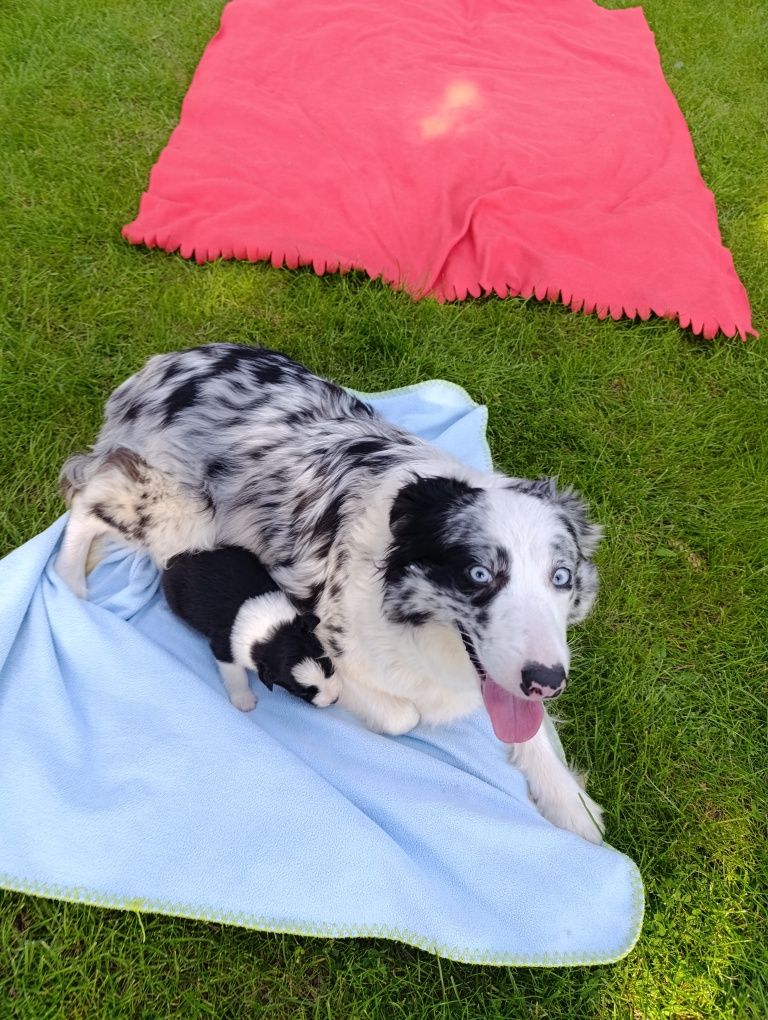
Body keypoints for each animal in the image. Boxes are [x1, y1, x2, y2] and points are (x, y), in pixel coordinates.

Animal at [162, 546, 338, 714]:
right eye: (302, 693)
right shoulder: (224, 647)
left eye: (329, 666)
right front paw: (244, 700)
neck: (271, 632)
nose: (334, 700)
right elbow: (235, 674)